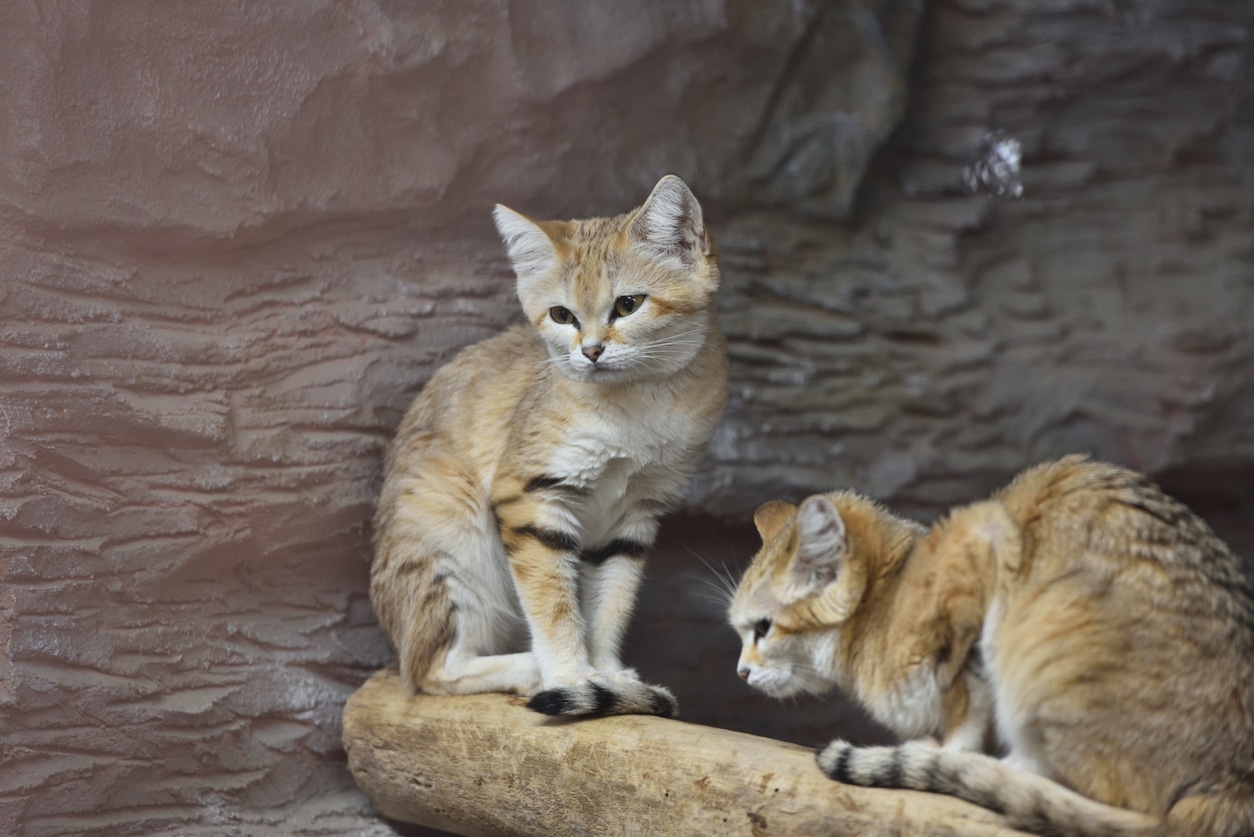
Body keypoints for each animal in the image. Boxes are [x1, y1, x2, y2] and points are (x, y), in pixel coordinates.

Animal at [366, 176, 732, 722]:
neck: (635, 406)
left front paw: (605, 673)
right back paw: (530, 668)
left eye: (628, 305)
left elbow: (610, 605)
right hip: (449, 536)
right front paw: (571, 676)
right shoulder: (532, 498)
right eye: (562, 315)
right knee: (428, 672)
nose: (591, 352)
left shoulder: (635, 516)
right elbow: (555, 606)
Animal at [732, 459, 1254, 837]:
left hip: (1039, 641)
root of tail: (1231, 787)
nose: (740, 673)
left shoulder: (982, 558)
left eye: (763, 628)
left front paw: (950, 753)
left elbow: (968, 702)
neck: (884, 603)